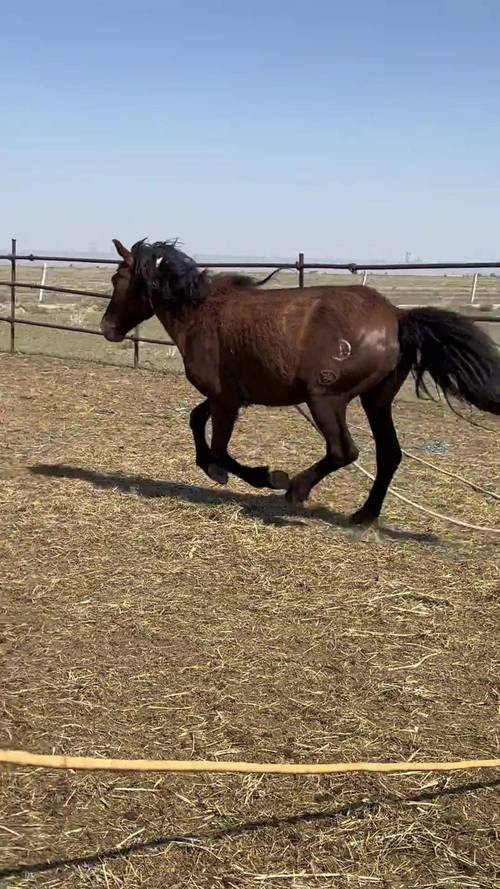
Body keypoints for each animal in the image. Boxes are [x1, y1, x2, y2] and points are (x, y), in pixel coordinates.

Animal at [100, 239, 500, 524]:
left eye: (117, 279)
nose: (107, 328)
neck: (200, 312)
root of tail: (397, 317)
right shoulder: (226, 396)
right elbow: (196, 421)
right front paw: (215, 471)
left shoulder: (225, 400)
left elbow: (220, 449)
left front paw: (265, 477)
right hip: (376, 400)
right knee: (389, 454)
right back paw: (364, 516)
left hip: (325, 399)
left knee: (344, 451)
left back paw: (296, 490)